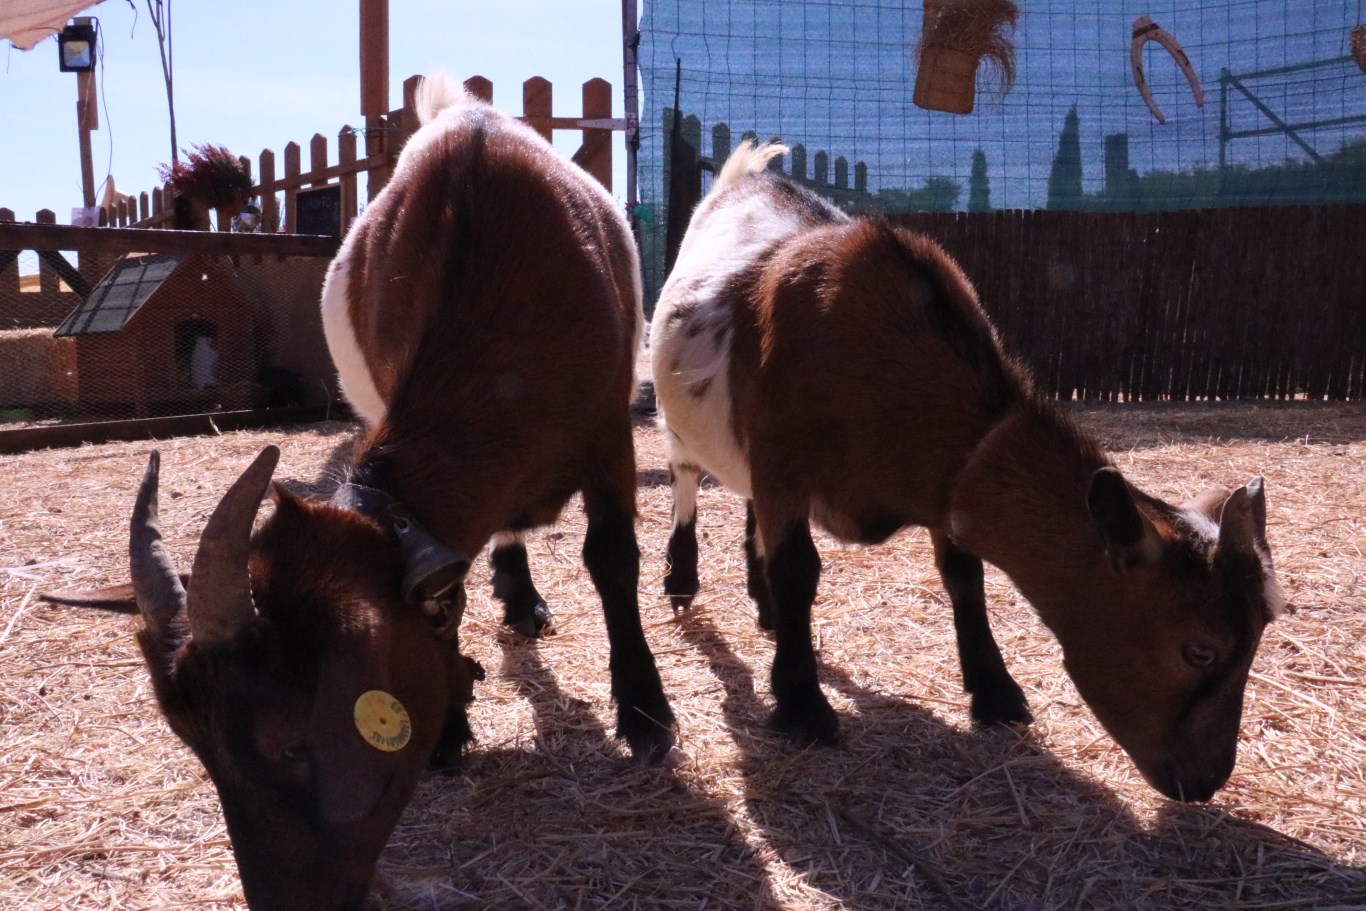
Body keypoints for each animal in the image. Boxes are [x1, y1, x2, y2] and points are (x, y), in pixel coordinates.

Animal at [48, 76, 677, 911]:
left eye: (290, 739)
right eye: (194, 746)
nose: (289, 903)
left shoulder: (610, 424)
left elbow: (611, 556)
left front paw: (645, 714)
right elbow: (446, 587)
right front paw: (450, 726)